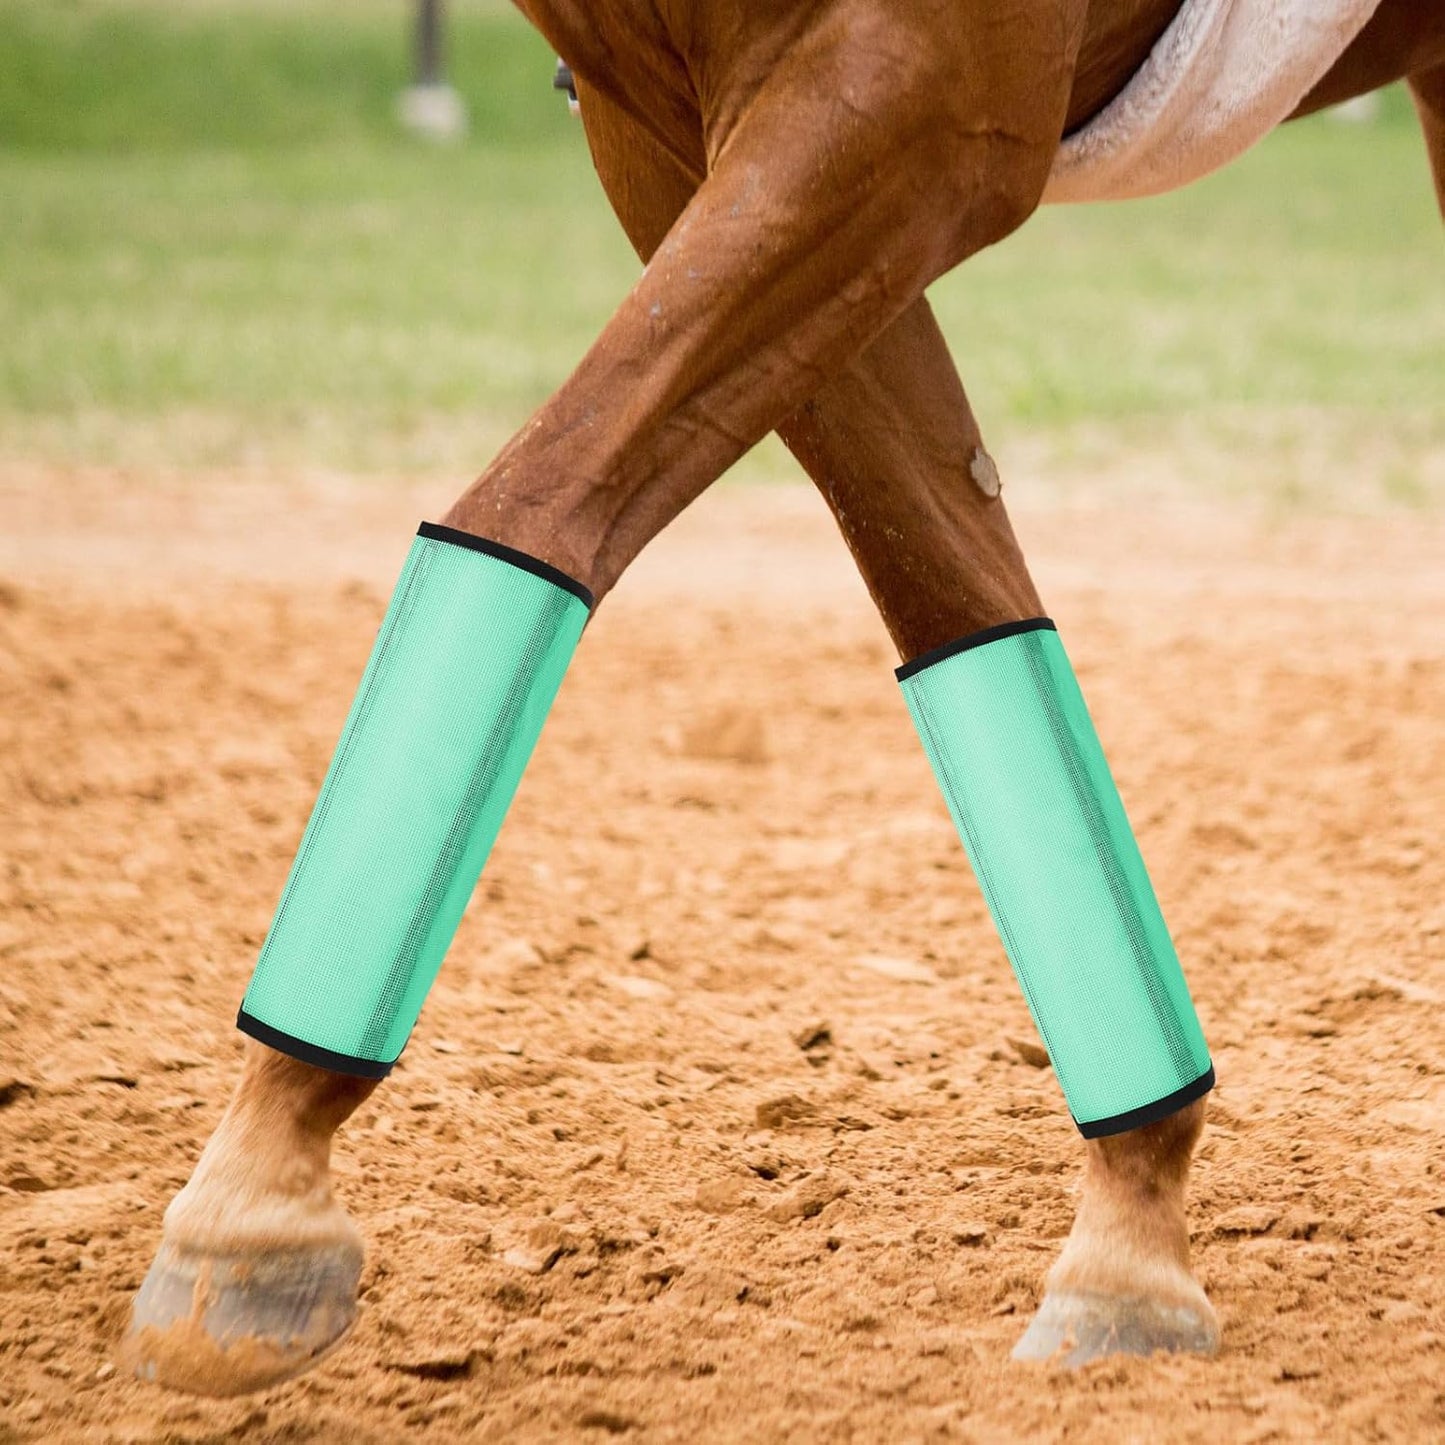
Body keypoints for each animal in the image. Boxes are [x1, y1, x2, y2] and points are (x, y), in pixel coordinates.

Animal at [124, 0, 1445, 1396]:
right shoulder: (669, 135)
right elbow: (953, 594)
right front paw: (1130, 1240)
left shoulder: (912, 104)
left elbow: (538, 506)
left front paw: (256, 1205)